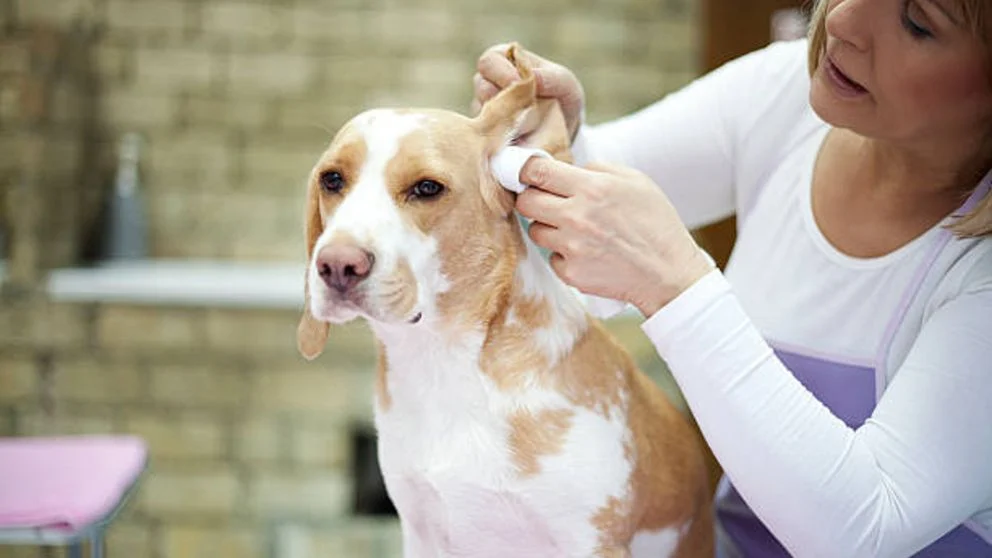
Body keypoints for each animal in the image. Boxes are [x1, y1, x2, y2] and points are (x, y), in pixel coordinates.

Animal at [294, 44, 712, 558]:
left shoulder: (591, 541)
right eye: (332, 179)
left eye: (427, 187)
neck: (445, 363)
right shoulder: (421, 532)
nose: (337, 265)